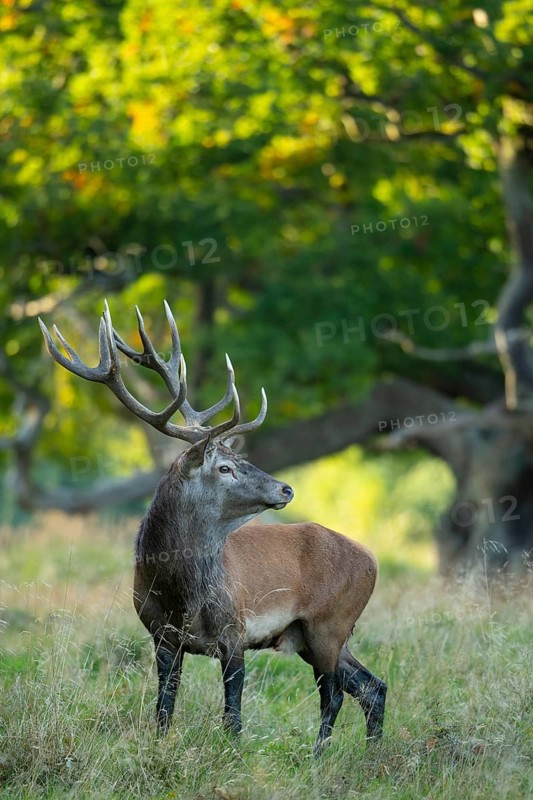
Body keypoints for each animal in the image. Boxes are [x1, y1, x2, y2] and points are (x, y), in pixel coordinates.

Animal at [39, 301, 386, 756]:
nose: (286, 487)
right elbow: (164, 707)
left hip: (329, 622)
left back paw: (318, 756)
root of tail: (373, 560)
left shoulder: (235, 630)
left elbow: (232, 714)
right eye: (224, 467)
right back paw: (370, 754)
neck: (180, 595)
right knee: (371, 687)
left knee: (334, 694)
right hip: (319, 634)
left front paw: (233, 753)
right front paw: (161, 747)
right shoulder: (161, 636)